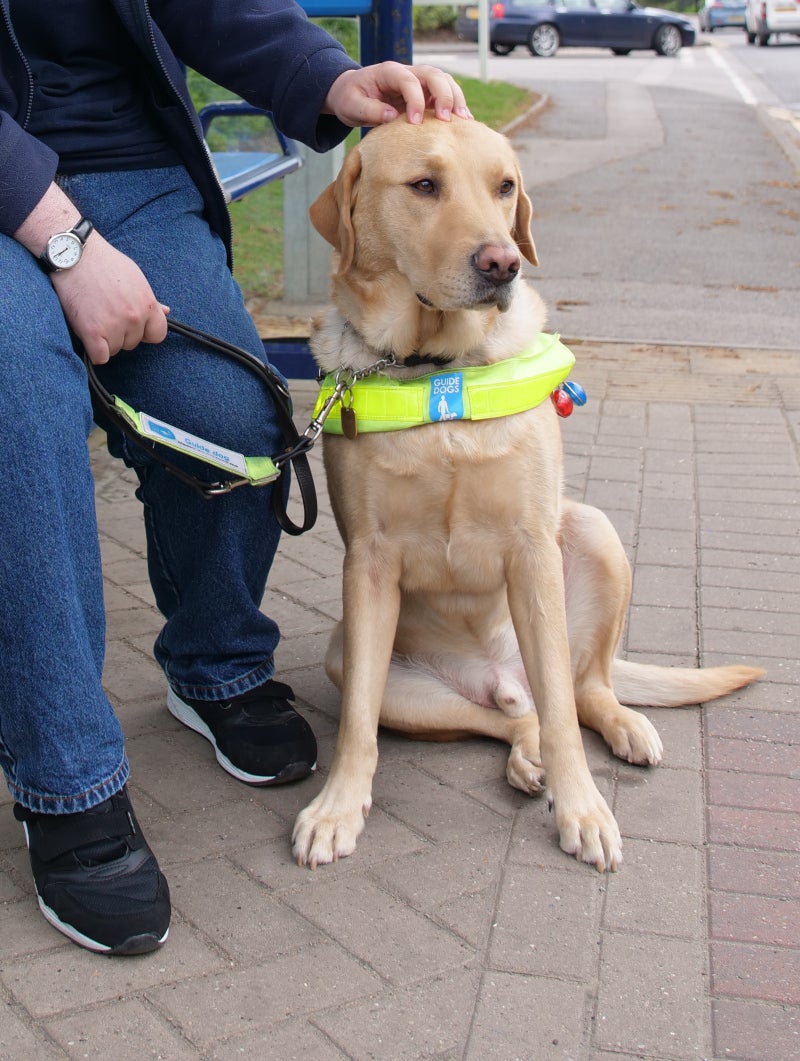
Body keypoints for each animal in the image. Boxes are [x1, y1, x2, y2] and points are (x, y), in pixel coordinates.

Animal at [290, 116, 759, 874]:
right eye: (424, 185)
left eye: (504, 186)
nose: (502, 263)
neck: (438, 370)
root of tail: (498, 672)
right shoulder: (367, 563)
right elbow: (358, 721)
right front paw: (337, 808)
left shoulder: (533, 550)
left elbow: (568, 719)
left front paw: (583, 811)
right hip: (366, 661)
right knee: (516, 716)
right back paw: (525, 755)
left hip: (592, 533)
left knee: (581, 690)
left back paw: (621, 727)